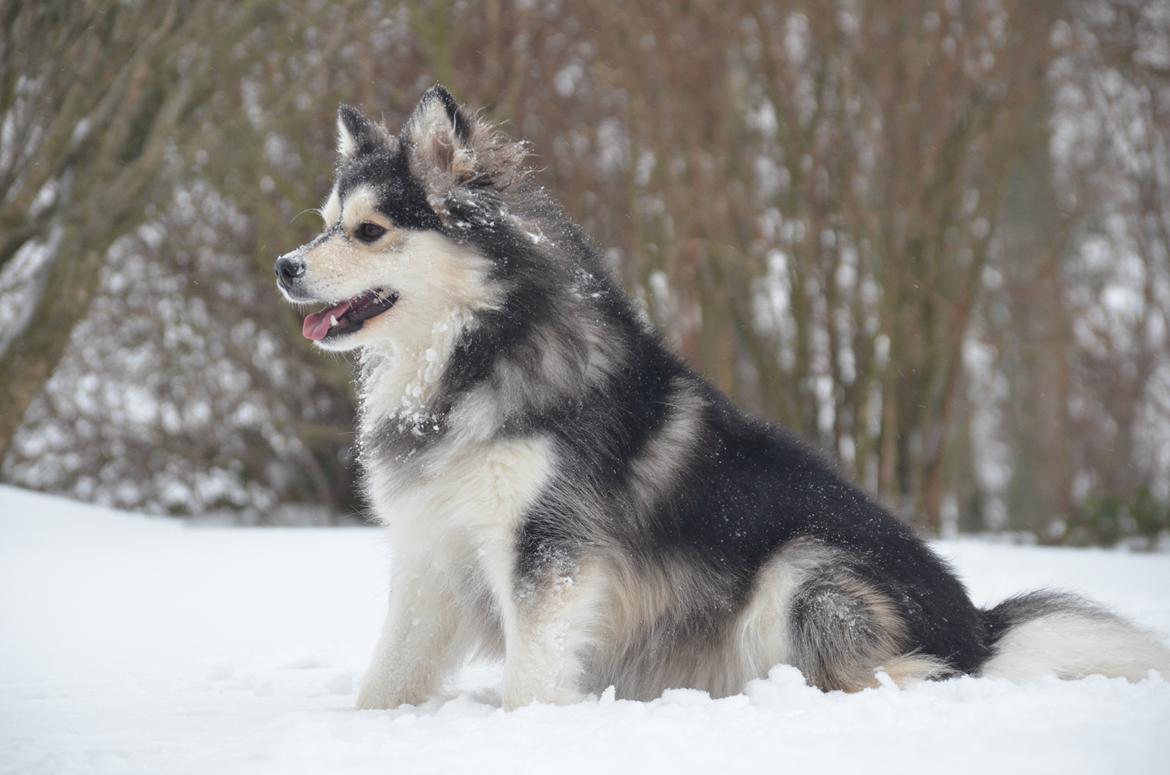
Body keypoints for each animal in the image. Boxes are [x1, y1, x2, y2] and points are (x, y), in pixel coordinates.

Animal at [276, 84, 1170, 711]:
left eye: (370, 231)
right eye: (324, 221)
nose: (285, 266)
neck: (474, 350)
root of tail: (979, 627)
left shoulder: (546, 550)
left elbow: (532, 676)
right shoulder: (432, 554)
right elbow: (387, 677)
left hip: (802, 571)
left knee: (903, 676)